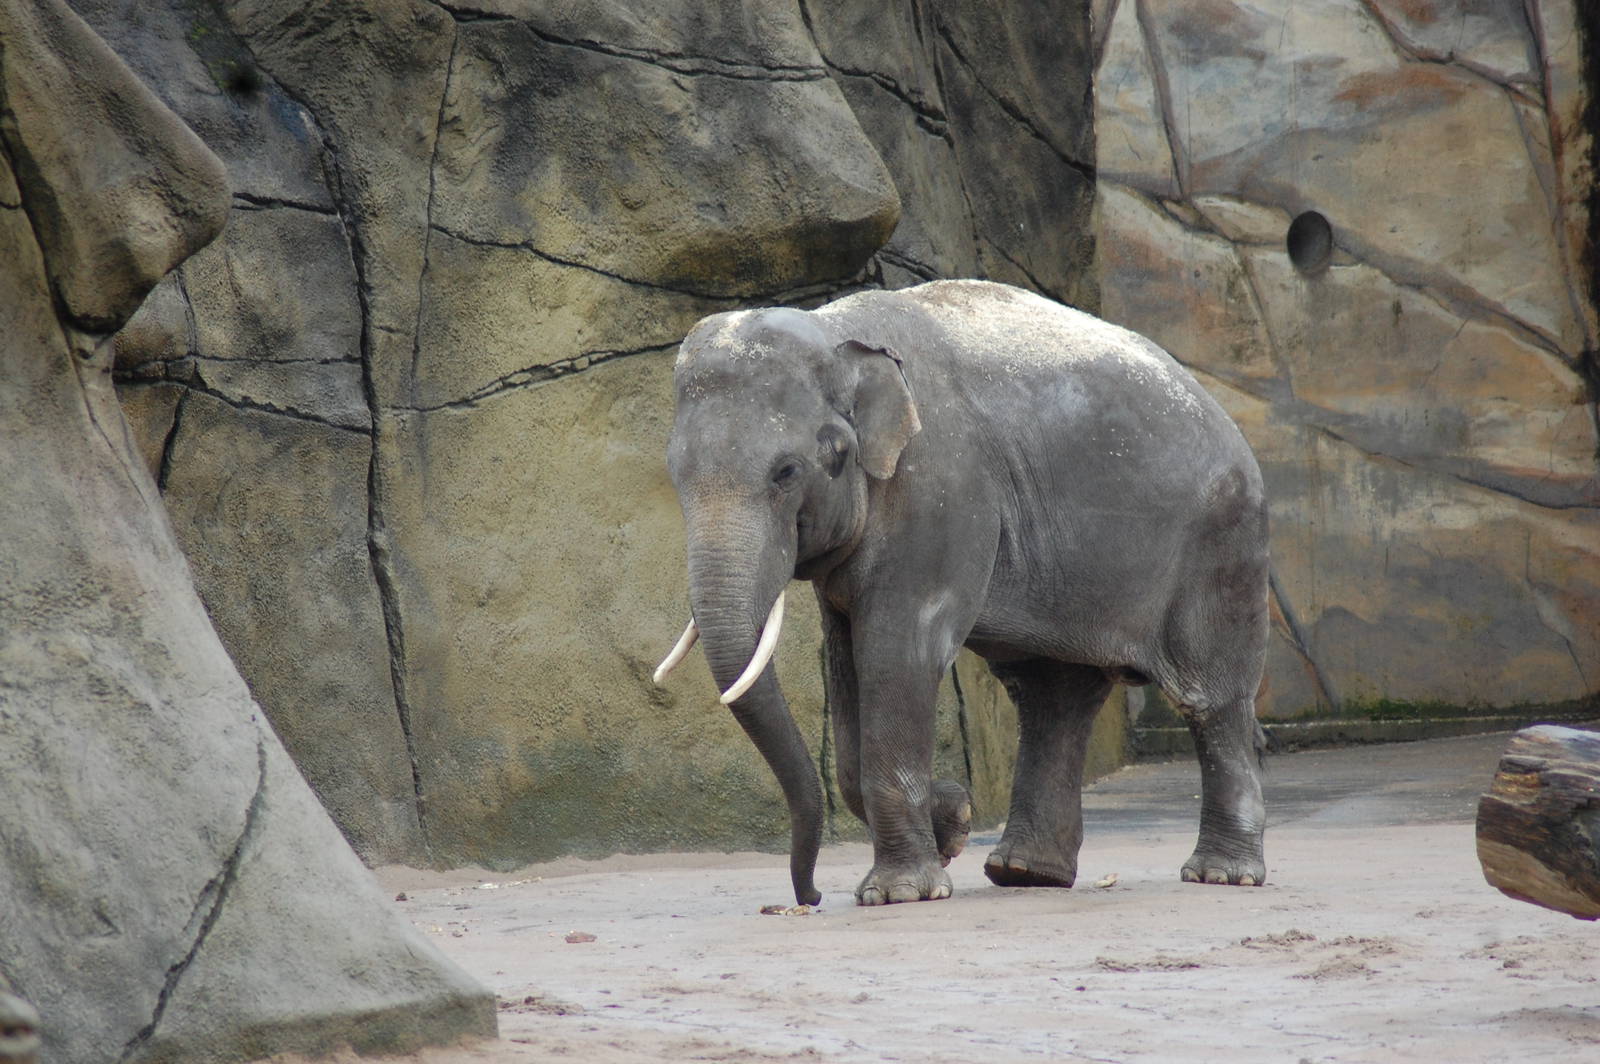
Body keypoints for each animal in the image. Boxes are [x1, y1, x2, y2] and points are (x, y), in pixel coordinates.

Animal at [654, 279, 1269, 906]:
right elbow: (845, 660)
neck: (837, 331)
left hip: (1222, 546)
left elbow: (900, 652)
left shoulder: (939, 488)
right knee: (1053, 695)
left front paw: (902, 890)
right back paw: (1026, 874)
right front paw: (952, 820)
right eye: (674, 473)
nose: (811, 897)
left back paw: (1221, 875)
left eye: (786, 472)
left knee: (1209, 699)